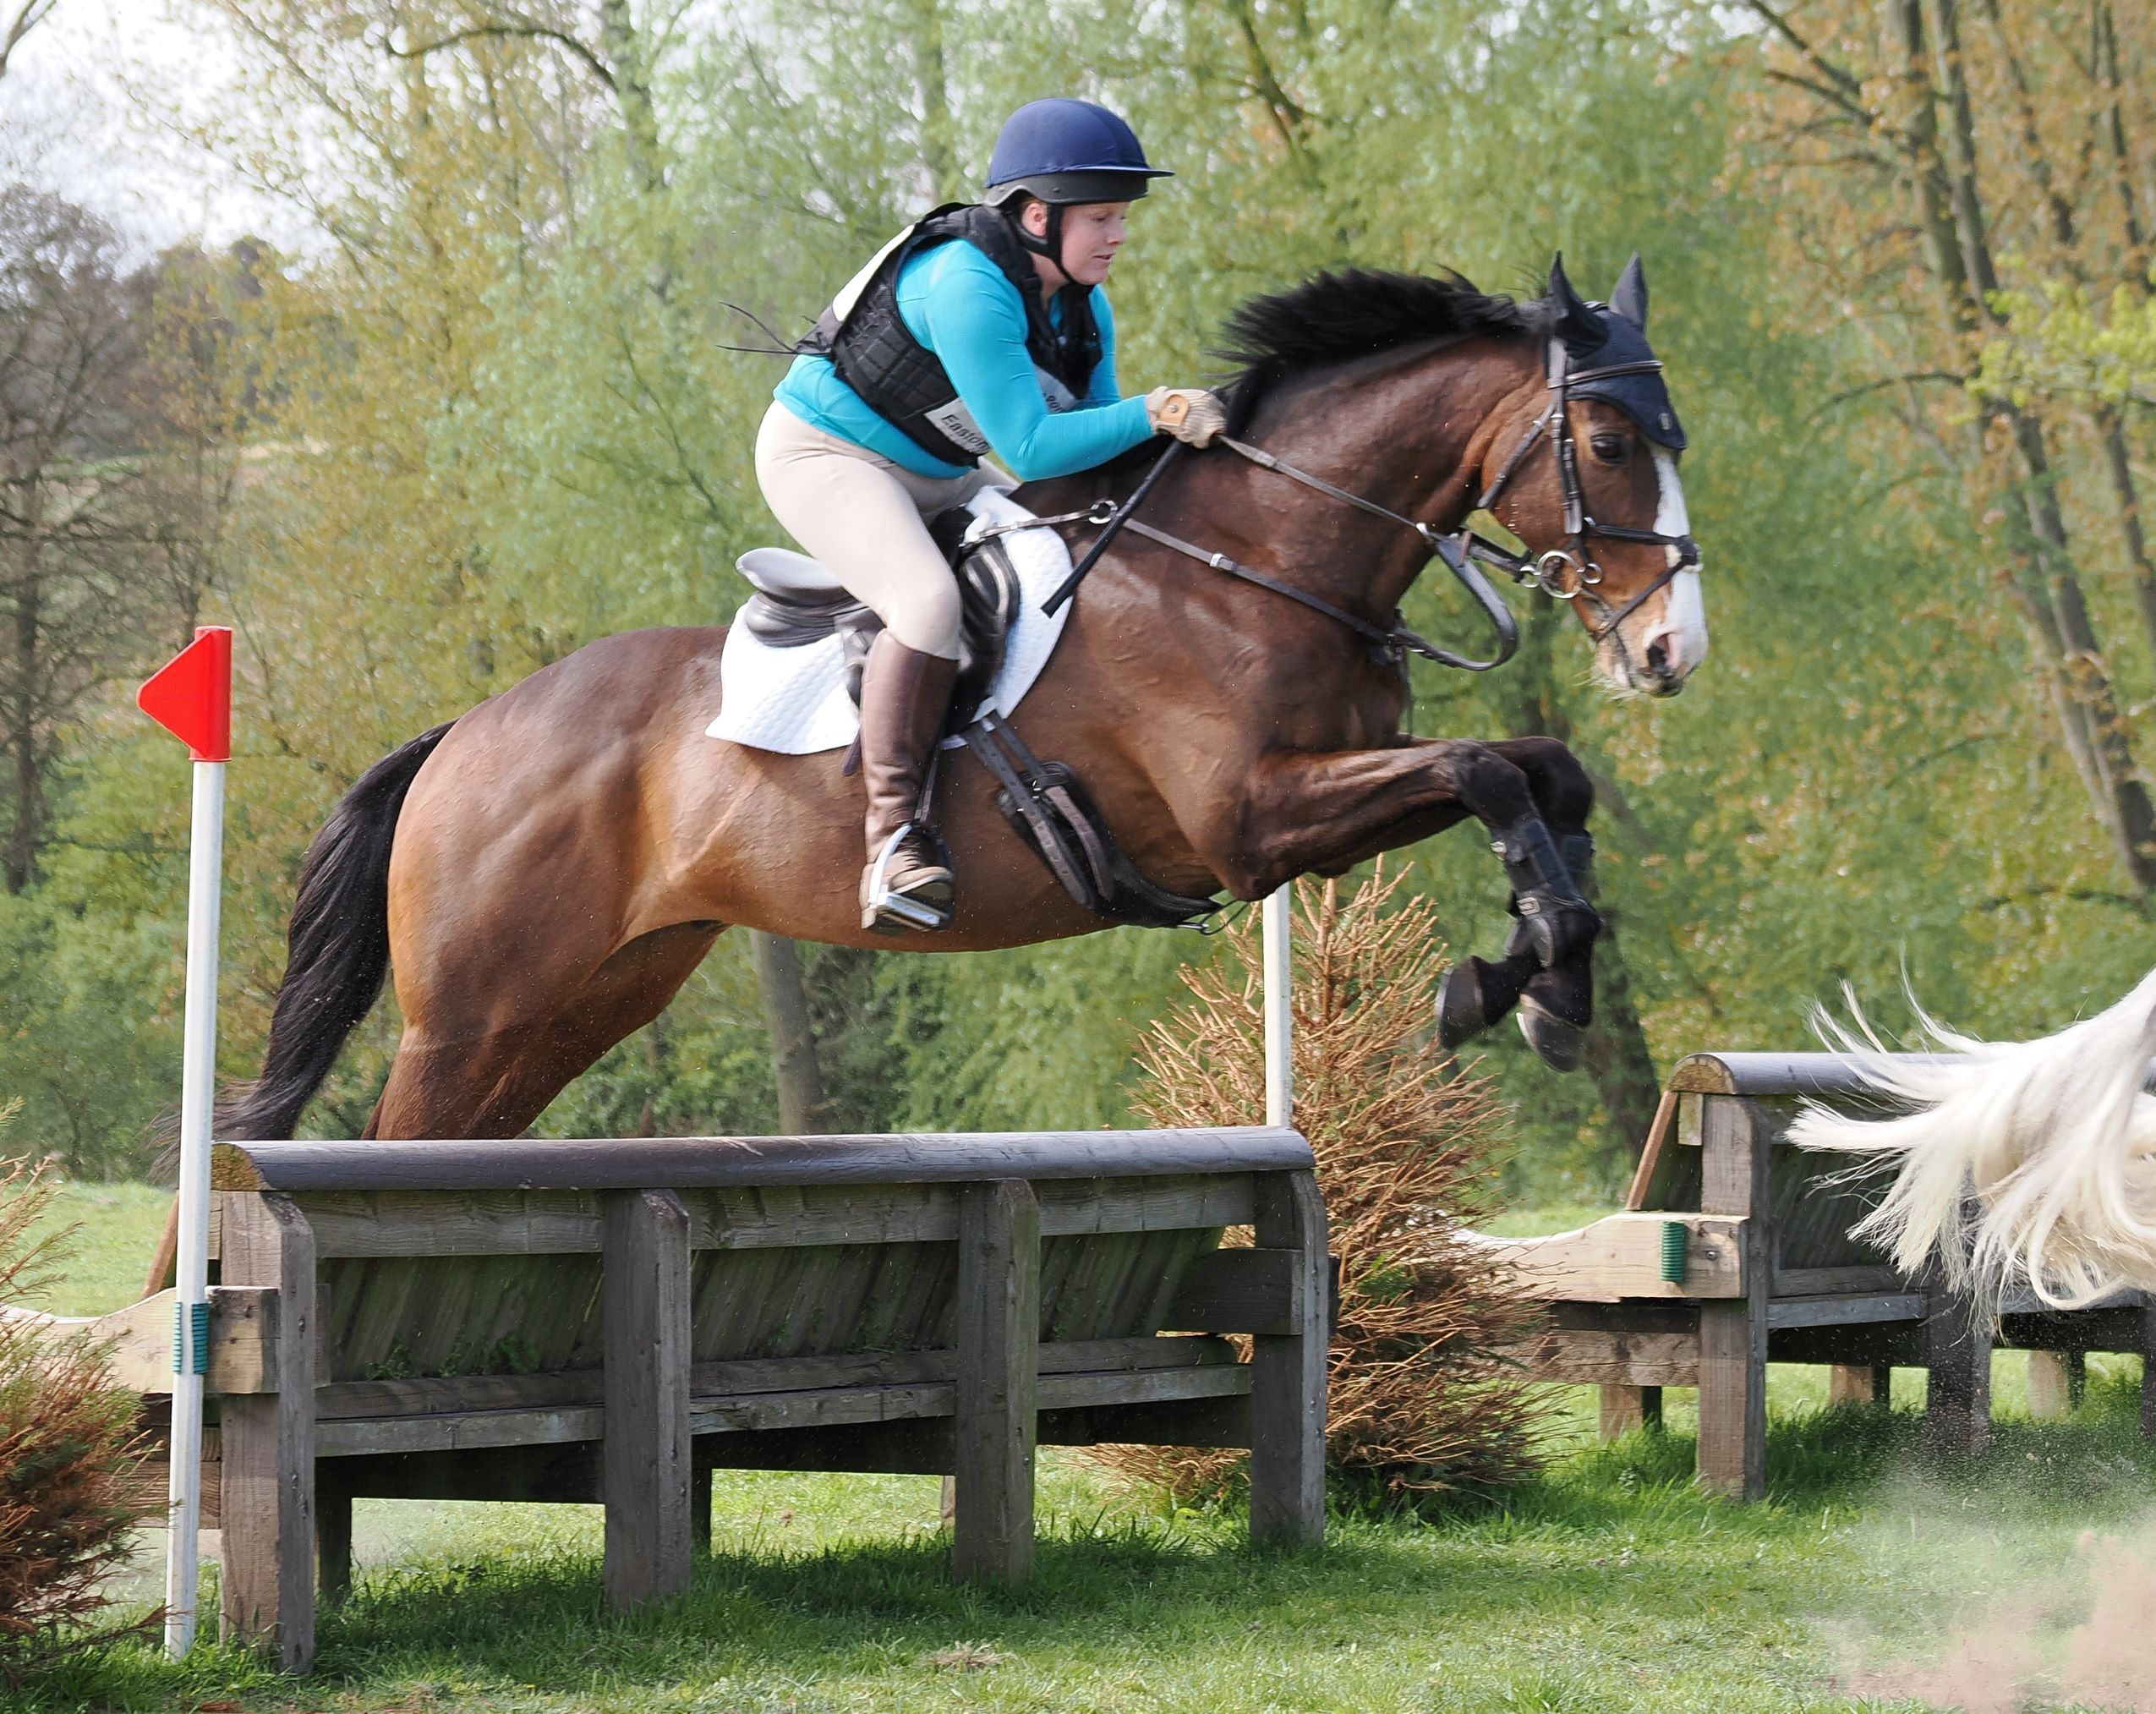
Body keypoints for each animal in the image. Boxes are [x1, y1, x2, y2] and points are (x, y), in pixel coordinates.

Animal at [218, 254, 1709, 1143]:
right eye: (1609, 440)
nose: (1668, 653)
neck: (1255, 556)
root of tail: (468, 731)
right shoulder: (1250, 823)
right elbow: (1488, 769)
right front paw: (1514, 977)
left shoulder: (1330, 796)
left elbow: (1538, 773)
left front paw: (1540, 973)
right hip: (468, 1009)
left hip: (584, 997)